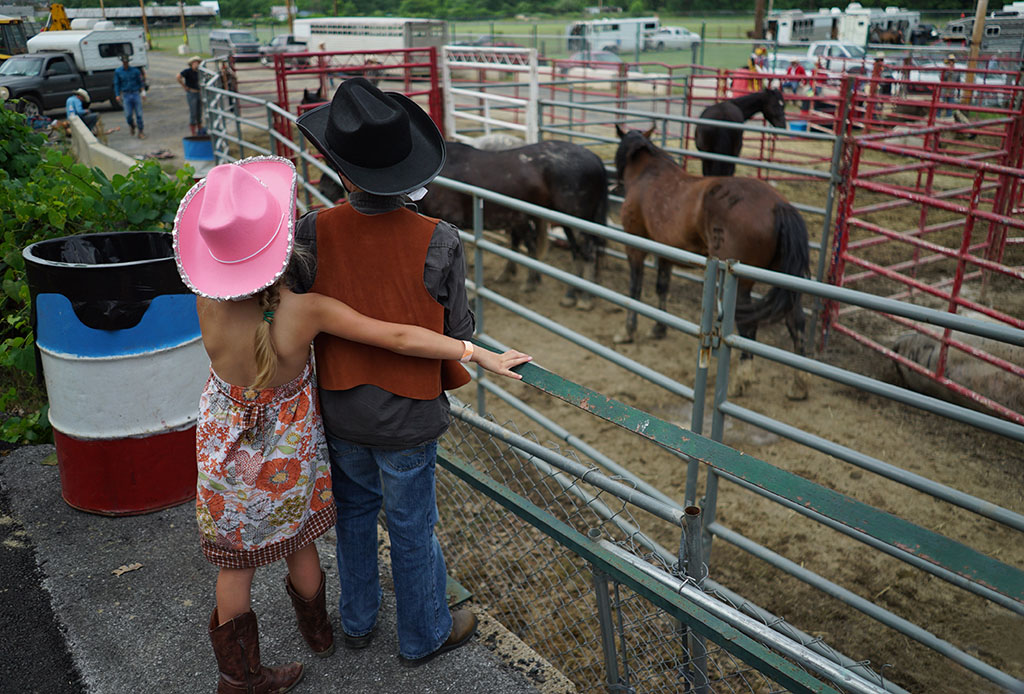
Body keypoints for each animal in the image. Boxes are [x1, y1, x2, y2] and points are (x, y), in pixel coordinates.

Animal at [415, 141, 606, 309]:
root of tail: (596, 159)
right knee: (576, 251)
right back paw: (570, 293)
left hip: (576, 222)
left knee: (587, 252)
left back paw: (585, 298)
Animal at [614, 123, 806, 397]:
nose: (616, 187)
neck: (647, 176)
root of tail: (778, 206)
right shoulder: (666, 252)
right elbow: (662, 287)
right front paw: (658, 328)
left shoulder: (635, 247)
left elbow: (635, 289)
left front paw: (628, 331)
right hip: (786, 281)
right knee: (796, 321)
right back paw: (799, 384)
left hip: (741, 284)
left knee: (750, 327)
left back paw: (740, 381)